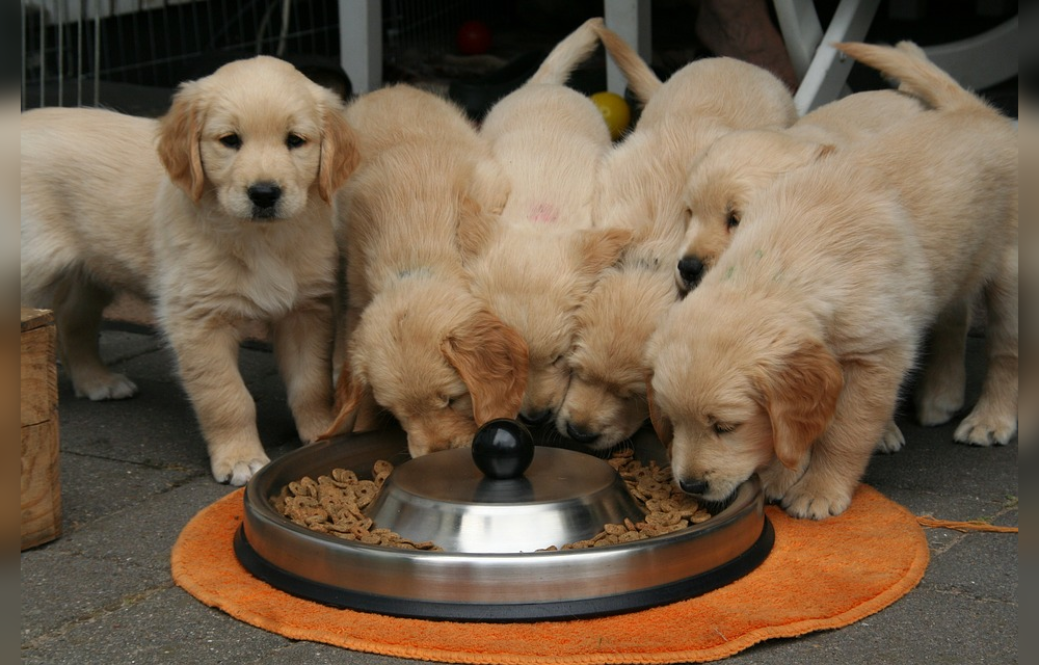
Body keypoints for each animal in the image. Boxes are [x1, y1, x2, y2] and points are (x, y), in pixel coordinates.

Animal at [20, 55, 361, 482]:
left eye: (295, 140)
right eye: (230, 140)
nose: (264, 194)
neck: (260, 238)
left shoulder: (306, 310)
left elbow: (310, 383)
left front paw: (322, 432)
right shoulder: (198, 319)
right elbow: (227, 396)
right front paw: (240, 457)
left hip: (90, 271)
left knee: (71, 319)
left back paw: (96, 380)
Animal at [324, 83, 527, 457]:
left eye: (452, 399)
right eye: (395, 412)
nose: (437, 452)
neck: (416, 258)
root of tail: (391, 88)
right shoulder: (357, 288)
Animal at [644, 41, 1018, 519]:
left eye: (726, 426)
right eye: (672, 422)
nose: (690, 485)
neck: (783, 262)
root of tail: (976, 111)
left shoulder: (878, 355)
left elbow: (844, 430)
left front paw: (819, 487)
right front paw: (783, 472)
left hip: (1011, 273)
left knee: (1007, 352)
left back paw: (991, 419)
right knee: (955, 314)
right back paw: (941, 395)